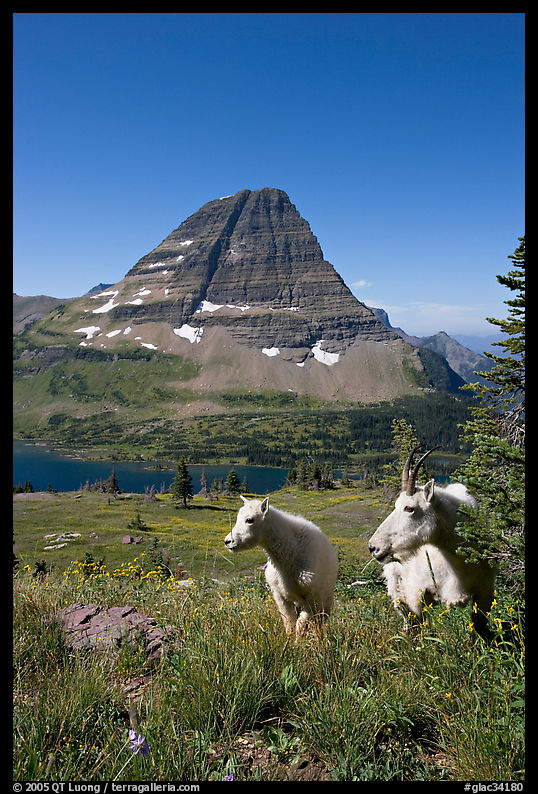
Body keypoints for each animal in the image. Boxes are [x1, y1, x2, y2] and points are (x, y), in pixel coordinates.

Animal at [224, 496, 338, 637]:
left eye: (249, 520)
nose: (228, 541)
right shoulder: (279, 594)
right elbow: (289, 622)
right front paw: (289, 639)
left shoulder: (312, 595)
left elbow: (301, 624)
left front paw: (298, 640)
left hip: (325, 599)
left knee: (319, 621)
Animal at [368, 446, 496, 637]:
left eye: (409, 508)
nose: (373, 547)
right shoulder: (415, 592)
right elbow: (418, 624)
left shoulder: (485, 591)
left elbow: (479, 627)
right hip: (396, 587)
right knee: (406, 617)